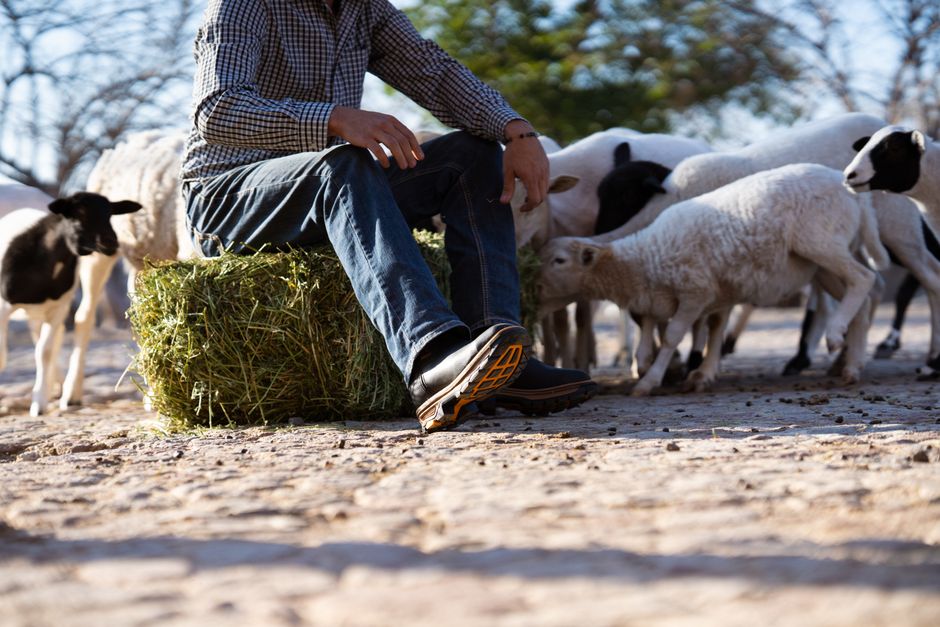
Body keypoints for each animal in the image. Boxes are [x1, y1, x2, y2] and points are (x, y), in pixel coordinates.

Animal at [0, 194, 142, 416]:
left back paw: (55, 386)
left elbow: (45, 351)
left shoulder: (58, 307)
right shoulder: (3, 305)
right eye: (79, 214)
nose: (111, 242)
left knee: (47, 341)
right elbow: (2, 357)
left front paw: (39, 403)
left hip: (42, 313)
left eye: (110, 214)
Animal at [60, 130, 190, 407]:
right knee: (84, 316)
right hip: (97, 251)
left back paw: (152, 394)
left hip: (144, 259)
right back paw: (71, 393)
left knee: (141, 313)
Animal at [538, 163, 888, 396]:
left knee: (863, 278)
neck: (644, 257)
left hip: (820, 243)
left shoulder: (696, 293)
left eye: (559, 261)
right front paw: (647, 366)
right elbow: (650, 328)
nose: (532, 288)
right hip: (821, 264)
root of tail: (848, 188)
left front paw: (650, 381)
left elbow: (673, 336)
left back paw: (835, 336)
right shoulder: (660, 297)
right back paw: (852, 365)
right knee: (862, 298)